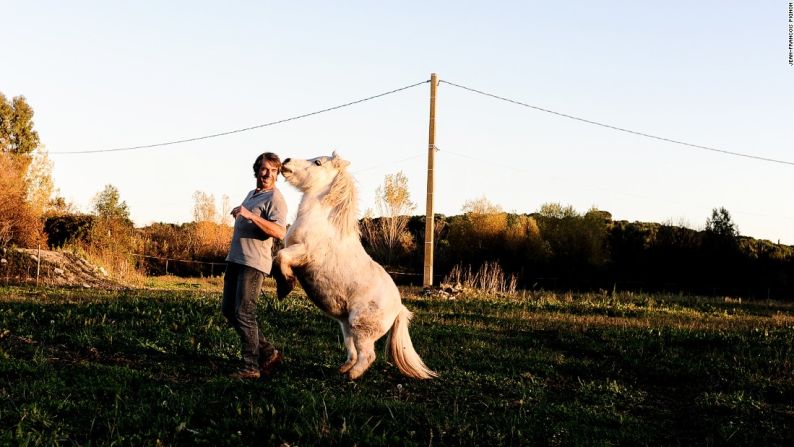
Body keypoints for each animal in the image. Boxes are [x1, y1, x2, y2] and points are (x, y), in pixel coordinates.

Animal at [270, 152, 434, 380]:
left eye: (318, 162)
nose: (285, 162)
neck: (324, 223)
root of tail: (399, 308)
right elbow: (277, 259)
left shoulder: (303, 252)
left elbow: (280, 257)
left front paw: (286, 285)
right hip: (346, 328)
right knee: (353, 353)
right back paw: (343, 369)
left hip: (360, 329)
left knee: (367, 355)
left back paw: (352, 376)